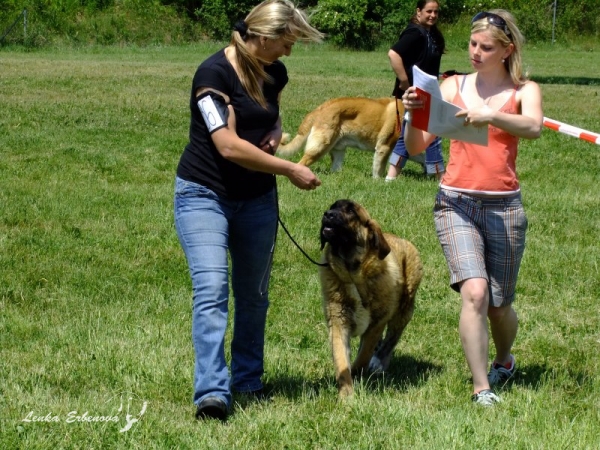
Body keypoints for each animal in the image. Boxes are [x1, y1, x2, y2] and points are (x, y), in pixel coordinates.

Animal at [318, 200, 422, 398]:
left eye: (351, 211)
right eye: (333, 206)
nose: (327, 214)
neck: (354, 275)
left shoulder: (376, 324)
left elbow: (364, 355)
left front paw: (358, 371)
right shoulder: (338, 323)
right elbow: (342, 359)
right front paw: (346, 394)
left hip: (403, 311)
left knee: (390, 340)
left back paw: (378, 363)